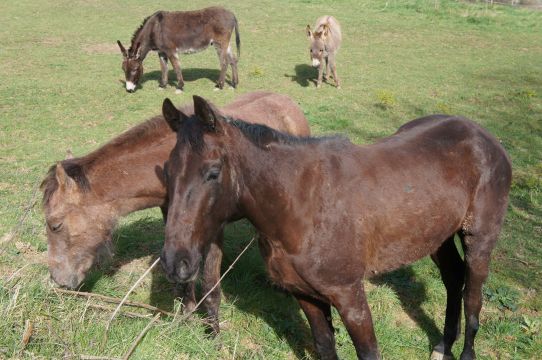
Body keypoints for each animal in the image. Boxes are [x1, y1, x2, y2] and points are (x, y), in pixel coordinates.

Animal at [41, 91, 310, 334]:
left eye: (55, 225)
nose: (58, 280)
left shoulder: (213, 230)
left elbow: (210, 286)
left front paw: (214, 336)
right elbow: (184, 281)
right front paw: (187, 320)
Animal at [162, 95, 516, 360]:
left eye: (212, 172)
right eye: (168, 170)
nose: (175, 262)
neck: (301, 207)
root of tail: (484, 137)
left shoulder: (349, 295)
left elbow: (368, 352)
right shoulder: (304, 295)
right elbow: (324, 345)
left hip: (478, 239)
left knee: (473, 295)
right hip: (436, 237)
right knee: (453, 278)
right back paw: (443, 346)